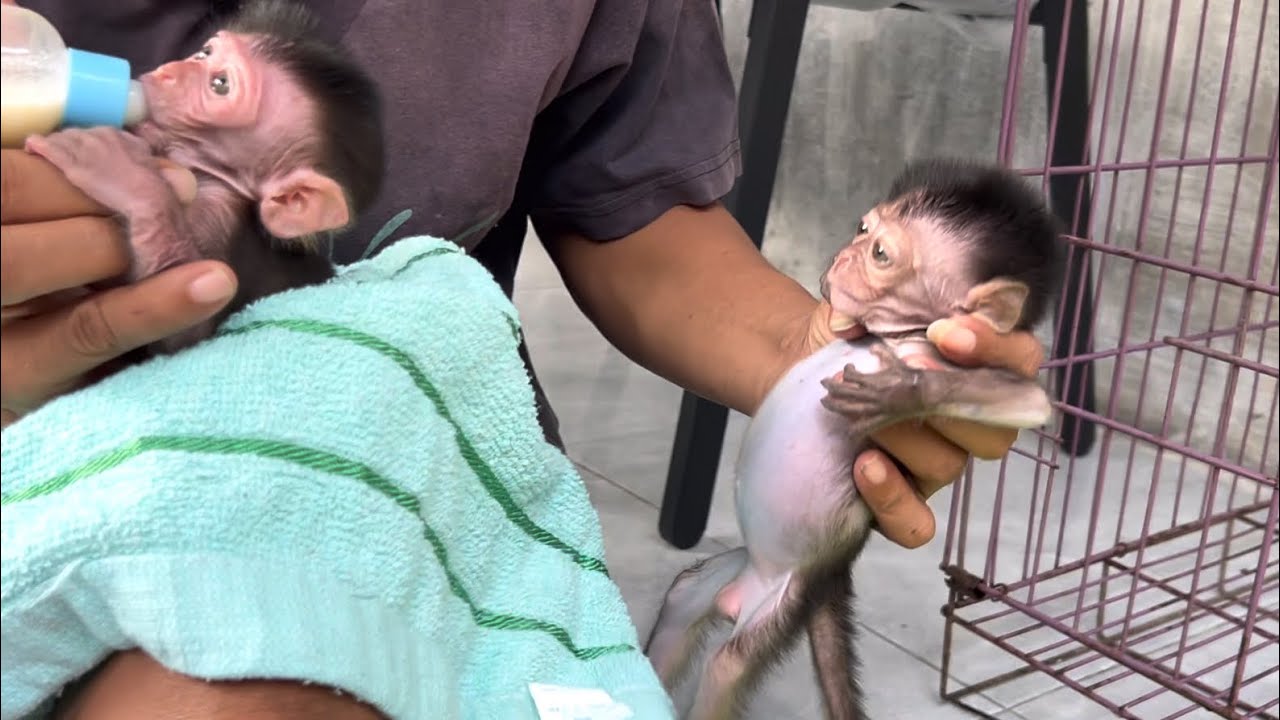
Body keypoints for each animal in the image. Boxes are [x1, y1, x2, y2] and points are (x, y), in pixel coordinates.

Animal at [21, 0, 385, 354]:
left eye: (220, 84)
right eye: (204, 54)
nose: (169, 71)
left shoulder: (219, 210)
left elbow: (181, 335)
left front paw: (120, 169)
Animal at [643, 157, 1064, 720]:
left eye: (881, 254)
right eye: (863, 229)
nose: (844, 257)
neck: (894, 335)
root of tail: (826, 578)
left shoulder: (943, 352)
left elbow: (1032, 401)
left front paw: (898, 395)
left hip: (780, 603)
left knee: (728, 666)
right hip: (733, 579)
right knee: (682, 599)